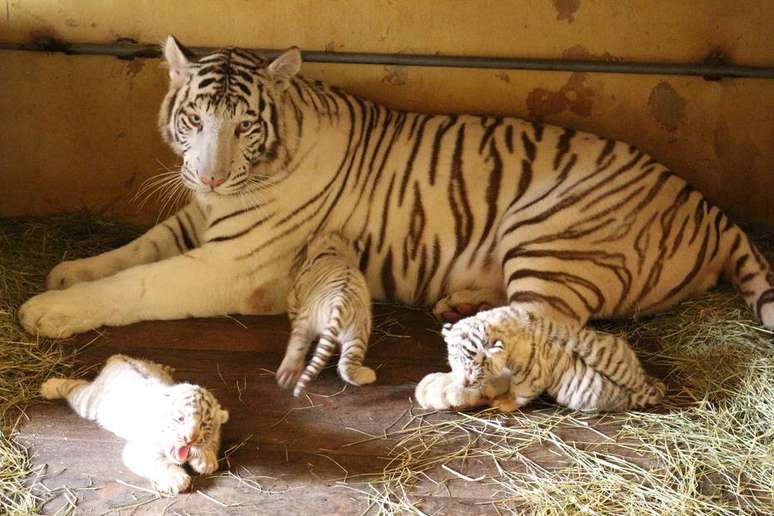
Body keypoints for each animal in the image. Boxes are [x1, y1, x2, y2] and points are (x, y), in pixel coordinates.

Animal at [40, 354, 229, 494]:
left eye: (204, 425)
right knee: (74, 386)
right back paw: (49, 386)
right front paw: (177, 479)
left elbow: (213, 441)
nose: (189, 439)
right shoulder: (138, 450)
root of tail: (118, 359)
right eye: (180, 418)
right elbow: (159, 462)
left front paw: (207, 459)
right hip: (89, 402)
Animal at [276, 231, 375, 397]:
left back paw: (288, 373)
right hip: (357, 334)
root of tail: (341, 303)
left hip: (305, 324)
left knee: (296, 348)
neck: (333, 251)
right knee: (347, 366)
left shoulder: (293, 300)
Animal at [427, 307, 665, 412]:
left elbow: (519, 393)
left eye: (477, 365)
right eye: (455, 361)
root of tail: (644, 391)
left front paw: (503, 403)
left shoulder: (530, 374)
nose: (464, 383)